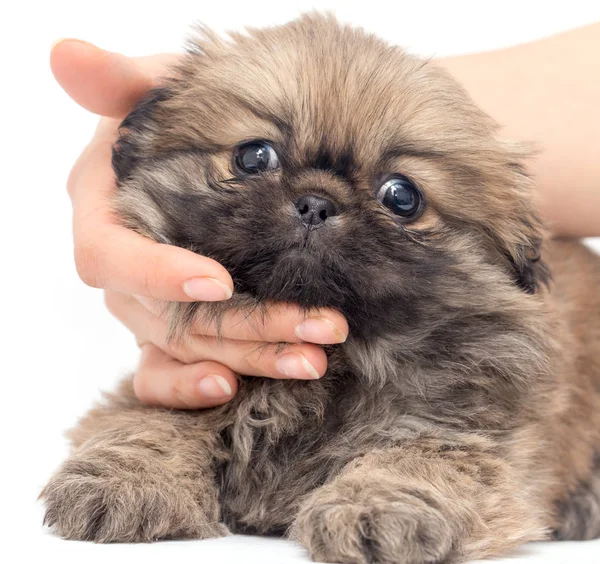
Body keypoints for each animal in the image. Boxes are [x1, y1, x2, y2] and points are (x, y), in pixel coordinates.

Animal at [42, 13, 600, 564]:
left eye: (402, 196)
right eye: (253, 156)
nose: (316, 202)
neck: (336, 362)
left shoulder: (460, 431)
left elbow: (413, 460)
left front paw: (375, 510)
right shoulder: (180, 381)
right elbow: (153, 424)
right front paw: (126, 481)